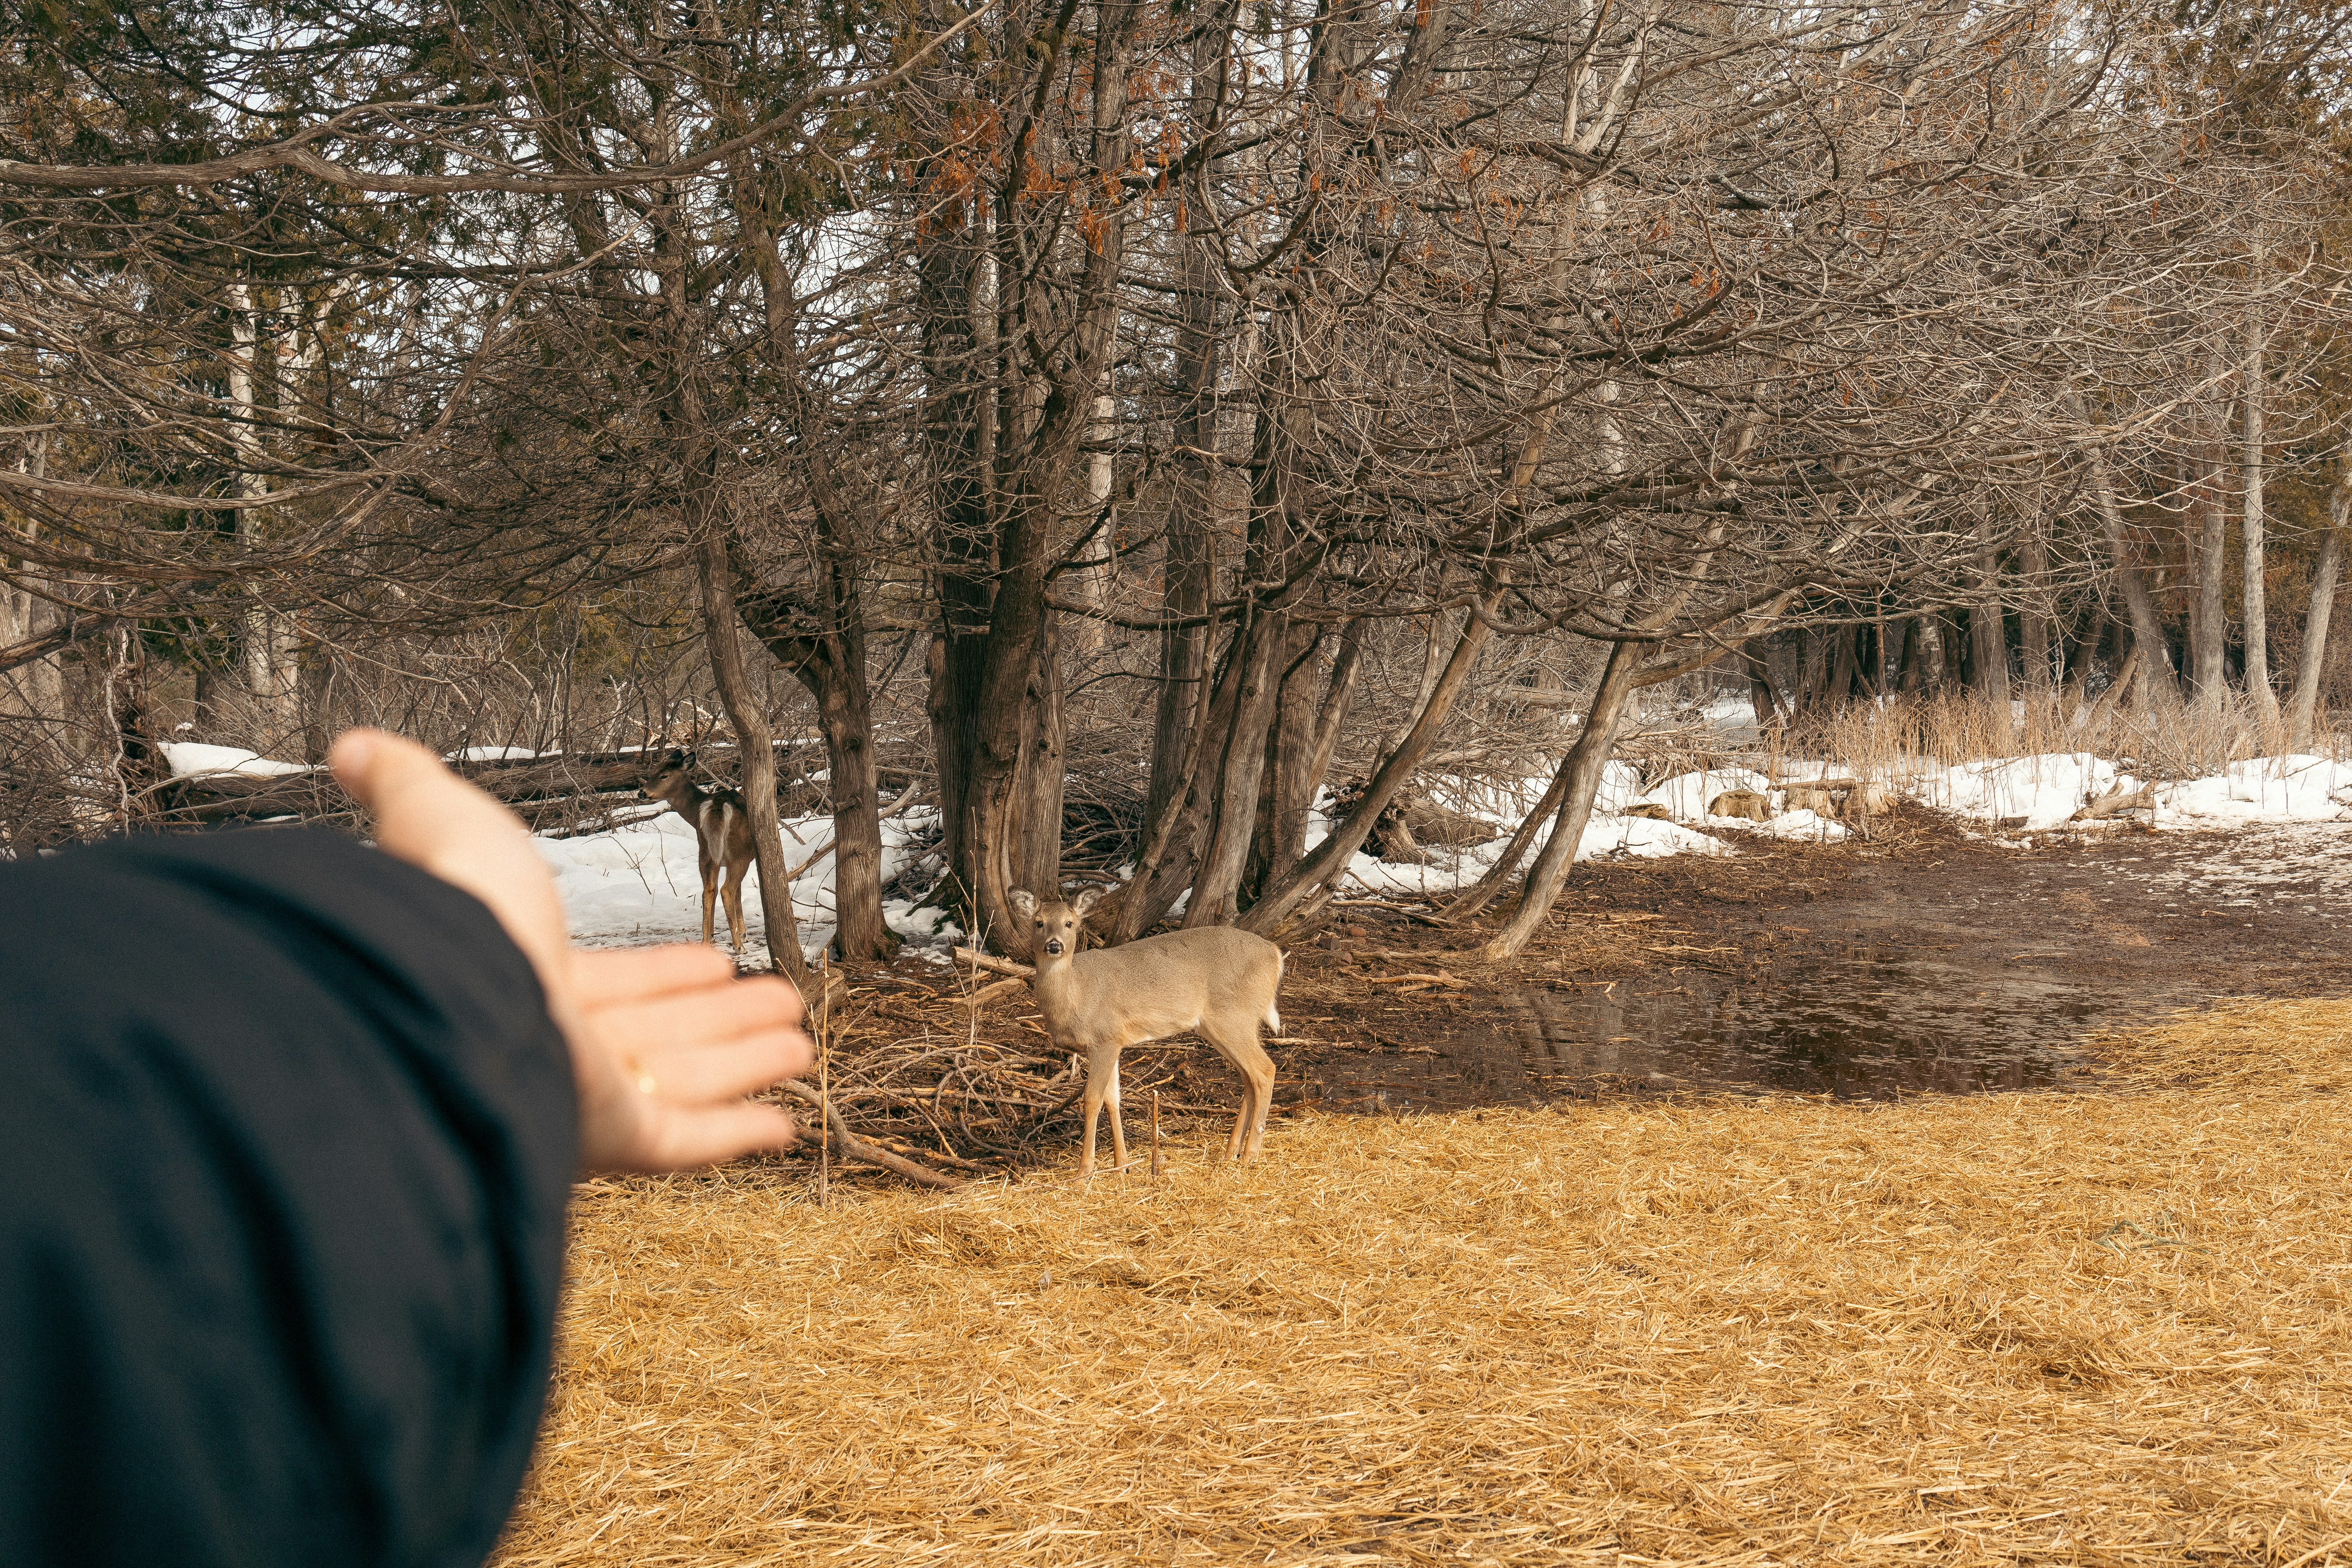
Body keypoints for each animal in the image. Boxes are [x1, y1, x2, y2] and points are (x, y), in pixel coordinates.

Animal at [640, 749, 756, 952]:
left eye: (664, 775)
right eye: (654, 773)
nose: (642, 793)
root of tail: (717, 806)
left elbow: (716, 890)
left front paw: (712, 934)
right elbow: (738, 893)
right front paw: (743, 934)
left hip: (705, 850)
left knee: (708, 890)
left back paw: (705, 941)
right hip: (738, 852)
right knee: (727, 890)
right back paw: (739, 945)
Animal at [1007, 887, 1285, 1180]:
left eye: (1070, 923)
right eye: (1039, 923)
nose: (1054, 945)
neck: (1076, 994)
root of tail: (1276, 955)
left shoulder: (1104, 1038)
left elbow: (1092, 1099)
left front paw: (1085, 1171)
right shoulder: (1114, 1043)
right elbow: (1113, 1099)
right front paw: (1122, 1166)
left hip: (1233, 1018)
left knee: (1265, 1070)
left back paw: (1251, 1155)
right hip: (1221, 1026)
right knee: (1249, 1077)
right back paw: (1232, 1152)